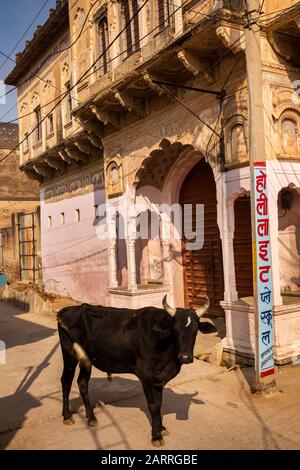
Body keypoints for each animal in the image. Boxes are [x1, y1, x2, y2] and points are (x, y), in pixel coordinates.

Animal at [57, 296, 212, 446]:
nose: (185, 357)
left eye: (195, 331)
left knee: (82, 382)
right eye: (174, 330)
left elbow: (159, 403)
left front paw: (161, 428)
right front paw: (156, 436)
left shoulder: (158, 378)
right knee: (66, 381)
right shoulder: (146, 376)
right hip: (69, 353)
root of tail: (71, 309)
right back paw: (67, 416)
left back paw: (91, 418)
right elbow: (153, 405)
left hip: (86, 359)